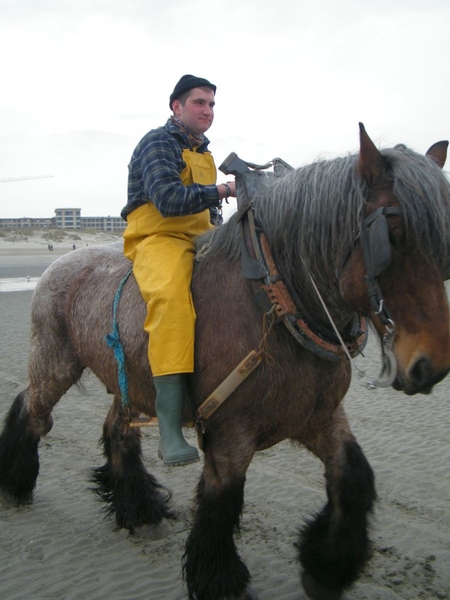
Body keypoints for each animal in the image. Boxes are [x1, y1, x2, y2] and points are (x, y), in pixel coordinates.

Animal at [0, 123, 450, 600]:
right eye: (393, 234)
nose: (431, 365)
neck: (276, 302)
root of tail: (61, 262)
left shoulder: (318, 416)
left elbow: (355, 476)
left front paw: (327, 565)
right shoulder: (230, 431)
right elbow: (223, 501)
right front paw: (220, 579)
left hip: (131, 378)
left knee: (118, 430)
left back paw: (137, 508)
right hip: (56, 362)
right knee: (33, 410)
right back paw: (15, 481)